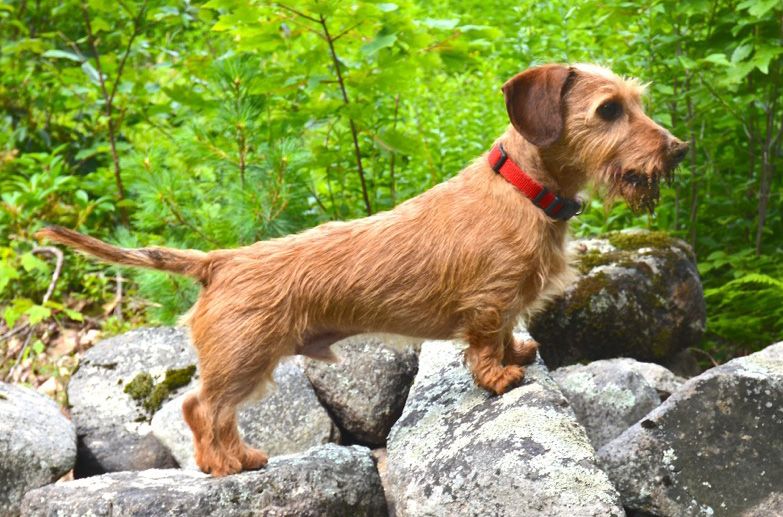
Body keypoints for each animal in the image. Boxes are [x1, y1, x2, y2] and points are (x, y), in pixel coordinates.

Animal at [38, 62, 688, 474]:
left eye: (638, 102)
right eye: (608, 110)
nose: (679, 150)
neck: (523, 190)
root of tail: (219, 261)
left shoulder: (506, 305)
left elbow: (506, 333)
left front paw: (517, 356)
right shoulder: (488, 301)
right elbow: (484, 342)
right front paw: (499, 378)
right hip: (244, 359)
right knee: (202, 408)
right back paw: (229, 464)